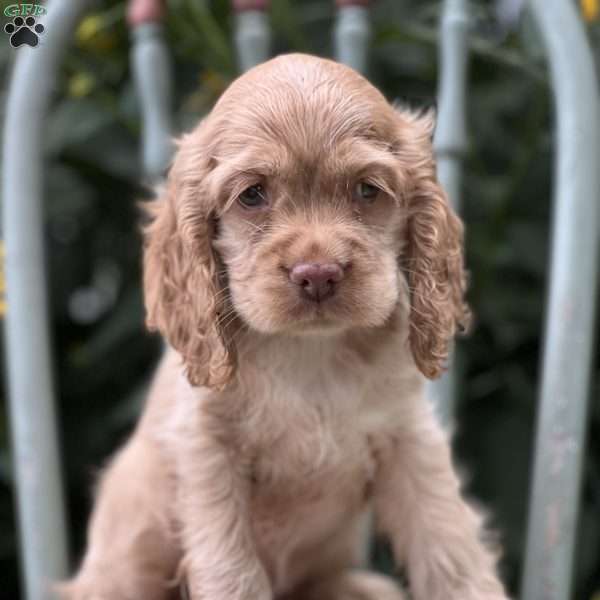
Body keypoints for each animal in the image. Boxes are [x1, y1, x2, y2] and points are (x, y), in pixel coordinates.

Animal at [62, 52, 506, 600]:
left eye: (366, 190)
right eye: (253, 195)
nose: (317, 275)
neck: (308, 354)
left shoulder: (410, 439)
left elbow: (449, 544)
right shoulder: (209, 455)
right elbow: (232, 571)